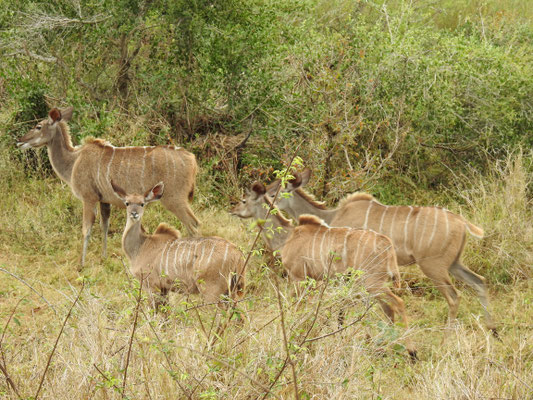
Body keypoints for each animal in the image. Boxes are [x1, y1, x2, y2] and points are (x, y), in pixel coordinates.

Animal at [17, 108, 200, 268]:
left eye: (38, 126)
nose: (20, 141)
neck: (74, 160)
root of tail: (191, 158)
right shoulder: (104, 201)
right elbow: (104, 226)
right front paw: (103, 257)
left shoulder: (88, 198)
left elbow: (86, 229)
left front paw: (81, 264)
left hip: (174, 200)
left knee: (194, 226)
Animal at [114, 182, 245, 306]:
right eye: (127, 203)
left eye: (142, 203)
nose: (134, 213)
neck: (141, 245)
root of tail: (237, 254)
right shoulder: (164, 289)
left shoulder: (152, 286)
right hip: (230, 291)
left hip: (211, 291)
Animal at [229, 183, 416, 358]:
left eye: (244, 200)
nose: (232, 210)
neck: (287, 237)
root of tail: (387, 245)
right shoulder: (314, 280)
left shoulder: (298, 277)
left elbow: (299, 308)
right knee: (388, 309)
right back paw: (383, 347)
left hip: (372, 282)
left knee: (398, 303)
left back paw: (411, 352)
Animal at [268, 167, 496, 332]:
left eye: (273, 192)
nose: (269, 207)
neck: (332, 217)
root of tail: (461, 222)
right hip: (454, 263)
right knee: (479, 281)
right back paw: (492, 329)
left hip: (433, 266)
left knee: (454, 296)